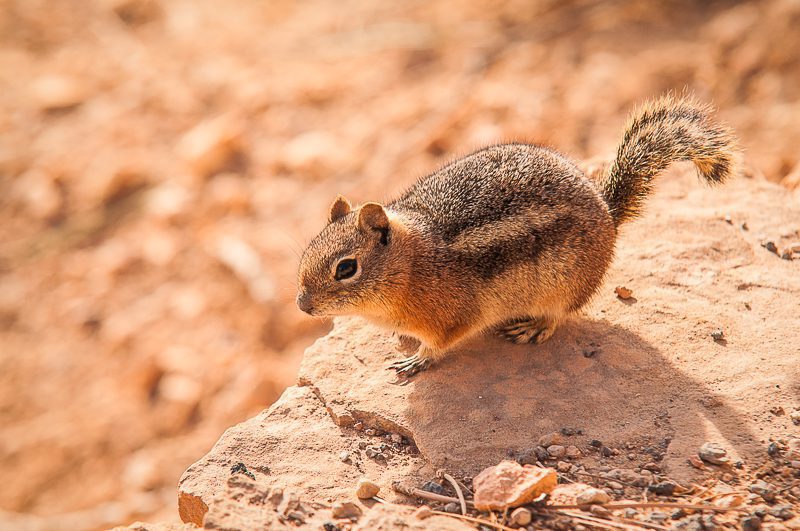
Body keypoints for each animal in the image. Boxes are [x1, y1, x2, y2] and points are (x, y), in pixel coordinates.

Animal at [296, 94, 738, 378]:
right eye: (307, 251)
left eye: (346, 268)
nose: (302, 305)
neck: (412, 266)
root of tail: (608, 213)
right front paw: (402, 341)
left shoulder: (453, 318)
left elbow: (440, 344)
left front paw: (417, 360)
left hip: (564, 285)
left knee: (561, 314)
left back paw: (533, 327)